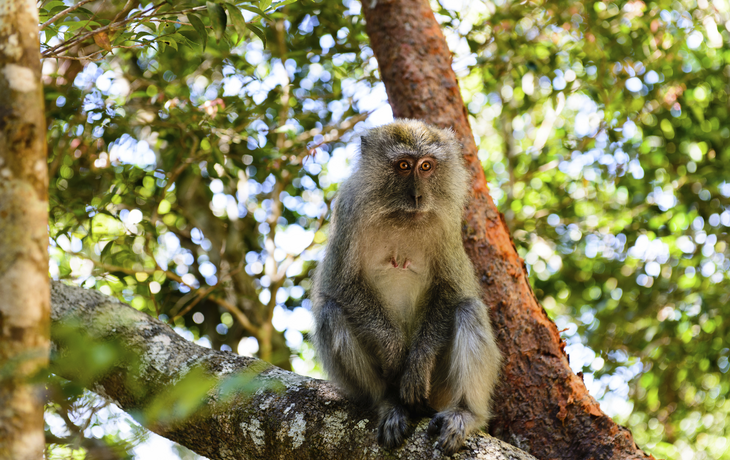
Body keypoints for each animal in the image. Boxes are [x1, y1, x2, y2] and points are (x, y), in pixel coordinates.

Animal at [310, 119, 502, 456]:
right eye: (403, 166)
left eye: (426, 166)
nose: (417, 197)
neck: (400, 216)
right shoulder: (347, 209)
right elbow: (340, 285)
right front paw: (394, 351)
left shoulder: (447, 223)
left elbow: (452, 290)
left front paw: (417, 363)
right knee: (331, 310)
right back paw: (389, 404)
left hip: (440, 389)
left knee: (468, 308)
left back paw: (465, 414)